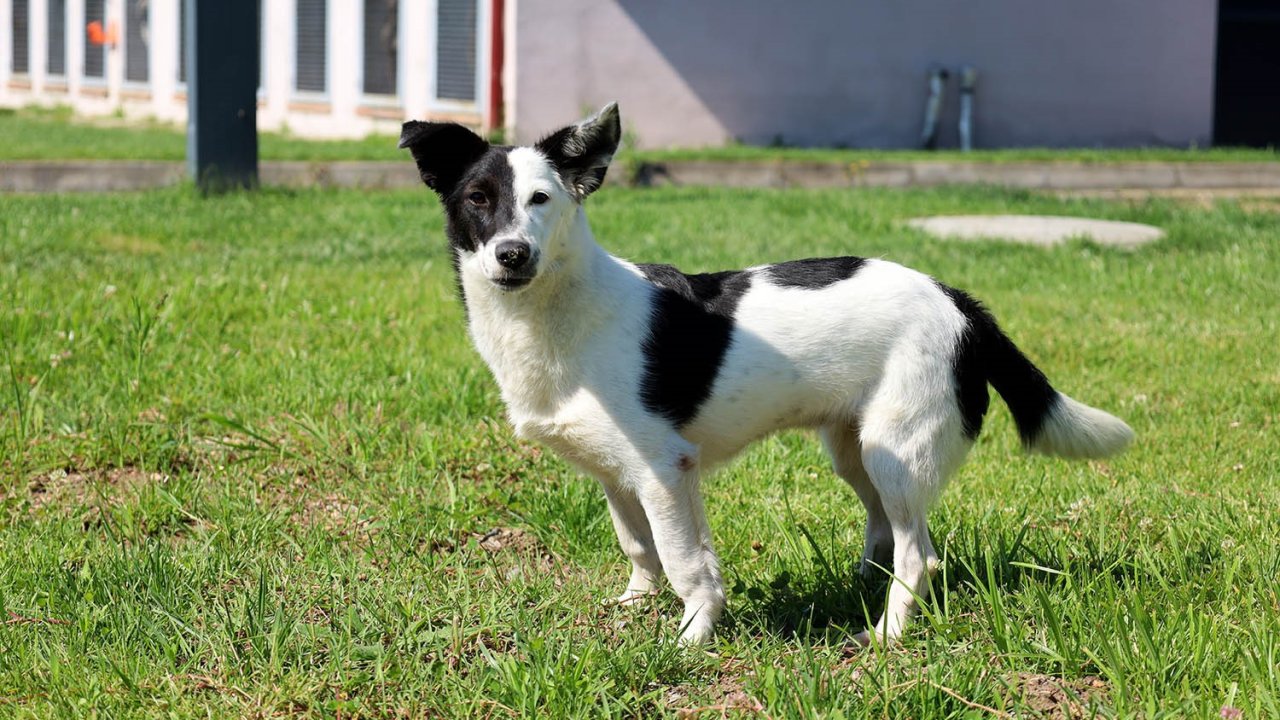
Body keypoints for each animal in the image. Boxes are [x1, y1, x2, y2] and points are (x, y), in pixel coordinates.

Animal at [396, 102, 1131, 645]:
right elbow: (641, 548)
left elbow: (685, 561)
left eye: (542, 199)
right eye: (478, 199)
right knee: (884, 530)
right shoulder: (620, 474)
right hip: (852, 449)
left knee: (917, 553)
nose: (512, 255)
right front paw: (637, 604)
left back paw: (887, 635)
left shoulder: (663, 469)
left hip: (897, 450)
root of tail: (959, 302)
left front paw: (692, 636)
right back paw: (862, 586)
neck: (557, 315)